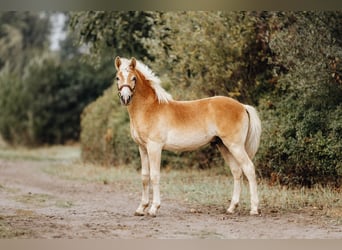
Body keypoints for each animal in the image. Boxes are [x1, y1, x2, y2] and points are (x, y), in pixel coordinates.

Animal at [113, 56, 260, 217]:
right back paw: (232, 208)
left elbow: (154, 176)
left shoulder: (154, 147)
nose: (125, 98)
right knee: (237, 172)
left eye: (133, 78)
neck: (149, 108)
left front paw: (153, 208)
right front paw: (141, 208)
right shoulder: (142, 148)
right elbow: (145, 177)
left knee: (249, 169)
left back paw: (254, 209)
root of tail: (242, 106)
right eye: (117, 78)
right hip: (224, 146)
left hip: (235, 145)